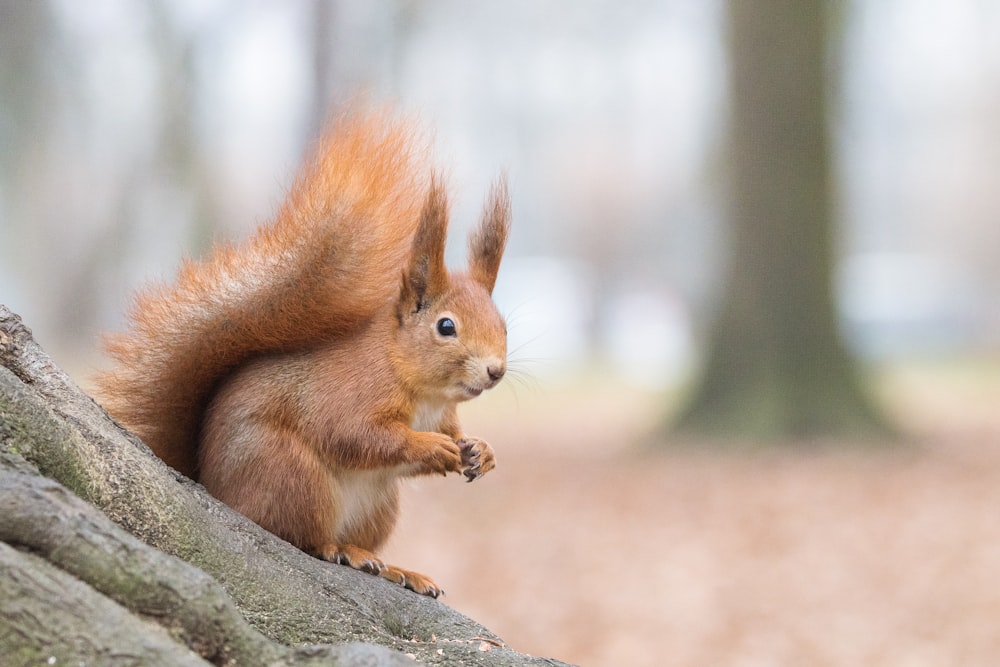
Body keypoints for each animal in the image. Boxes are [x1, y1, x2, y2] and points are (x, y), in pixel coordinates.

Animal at [95, 109, 508, 600]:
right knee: (300, 536)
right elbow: (356, 435)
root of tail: (214, 489)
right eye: (446, 327)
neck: (421, 387)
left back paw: (395, 568)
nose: (496, 371)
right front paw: (430, 447)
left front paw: (480, 451)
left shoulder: (442, 414)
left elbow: (449, 436)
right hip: (291, 476)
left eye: (503, 323)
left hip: (379, 504)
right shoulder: (350, 394)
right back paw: (342, 550)